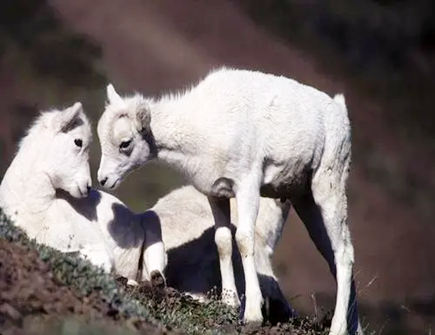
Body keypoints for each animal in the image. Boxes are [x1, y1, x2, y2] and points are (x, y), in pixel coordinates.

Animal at [0, 104, 292, 322]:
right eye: (78, 141)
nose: (87, 187)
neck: (36, 208)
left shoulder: (96, 249)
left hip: (154, 230)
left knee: (154, 275)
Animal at [99, 68, 364, 335]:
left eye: (125, 143)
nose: (103, 179)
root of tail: (339, 110)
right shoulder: (217, 194)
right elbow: (223, 241)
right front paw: (230, 302)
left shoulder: (247, 186)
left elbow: (244, 240)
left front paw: (252, 315)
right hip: (304, 201)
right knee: (333, 257)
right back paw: (355, 328)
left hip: (328, 188)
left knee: (344, 253)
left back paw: (338, 328)